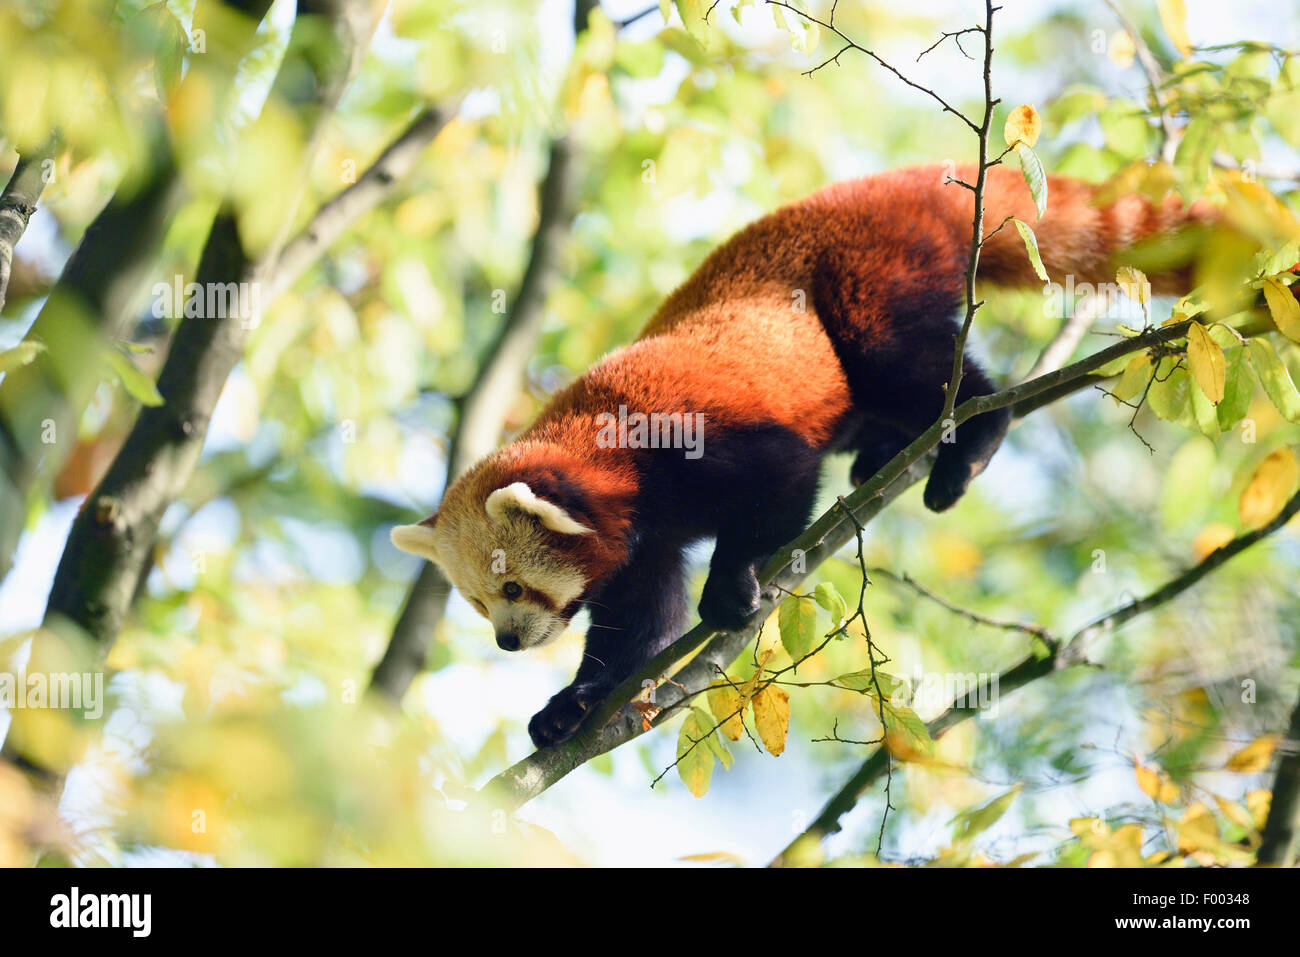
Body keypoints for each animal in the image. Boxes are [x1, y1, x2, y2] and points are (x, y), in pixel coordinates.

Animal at [390, 164, 1211, 748]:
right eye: (478, 602)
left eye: (515, 588)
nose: (506, 641)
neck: (604, 450)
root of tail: (886, 185)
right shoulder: (640, 538)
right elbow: (639, 627)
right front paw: (573, 705)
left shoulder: (685, 439)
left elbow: (783, 480)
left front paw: (729, 590)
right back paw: (885, 452)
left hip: (869, 275)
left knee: (906, 363)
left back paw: (970, 438)